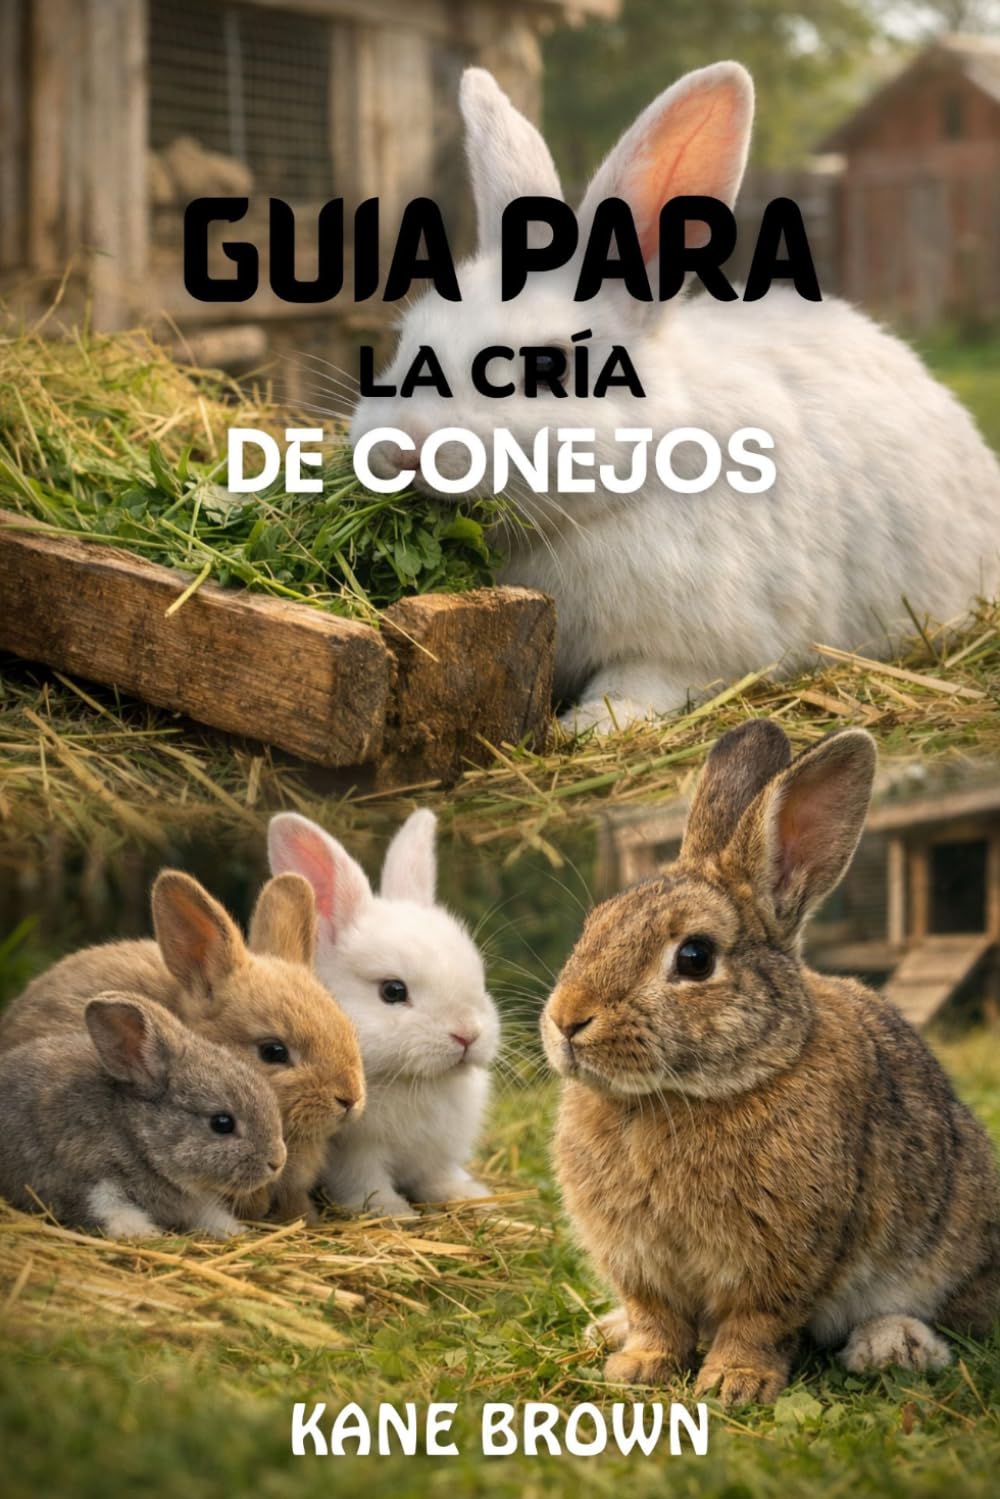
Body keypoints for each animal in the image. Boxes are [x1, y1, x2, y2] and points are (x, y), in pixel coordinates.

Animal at [0, 992, 286, 1238]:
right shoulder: (88, 1179)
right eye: (222, 1123)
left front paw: (234, 1231)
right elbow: (109, 1212)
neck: (136, 1136)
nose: (277, 1162)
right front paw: (143, 1233)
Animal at [267, 808, 500, 1218]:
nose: (467, 1035)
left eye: (480, 976)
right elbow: (366, 1183)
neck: (413, 1081)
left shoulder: (437, 1151)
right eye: (393, 991)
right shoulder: (354, 1154)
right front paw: (392, 1212)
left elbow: (436, 1176)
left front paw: (466, 1195)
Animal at [349, 62, 1000, 732]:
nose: (401, 448)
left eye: (550, 364)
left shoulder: (687, 650)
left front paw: (587, 726)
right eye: (406, 336)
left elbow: (637, 685)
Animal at [541, 719, 1000, 1406]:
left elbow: (757, 1320)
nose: (567, 1019)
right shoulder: (639, 1263)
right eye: (595, 924)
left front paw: (735, 1382)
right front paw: (637, 1366)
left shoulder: (785, 1257)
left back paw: (891, 1345)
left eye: (696, 957)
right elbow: (655, 1317)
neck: (686, 1095)